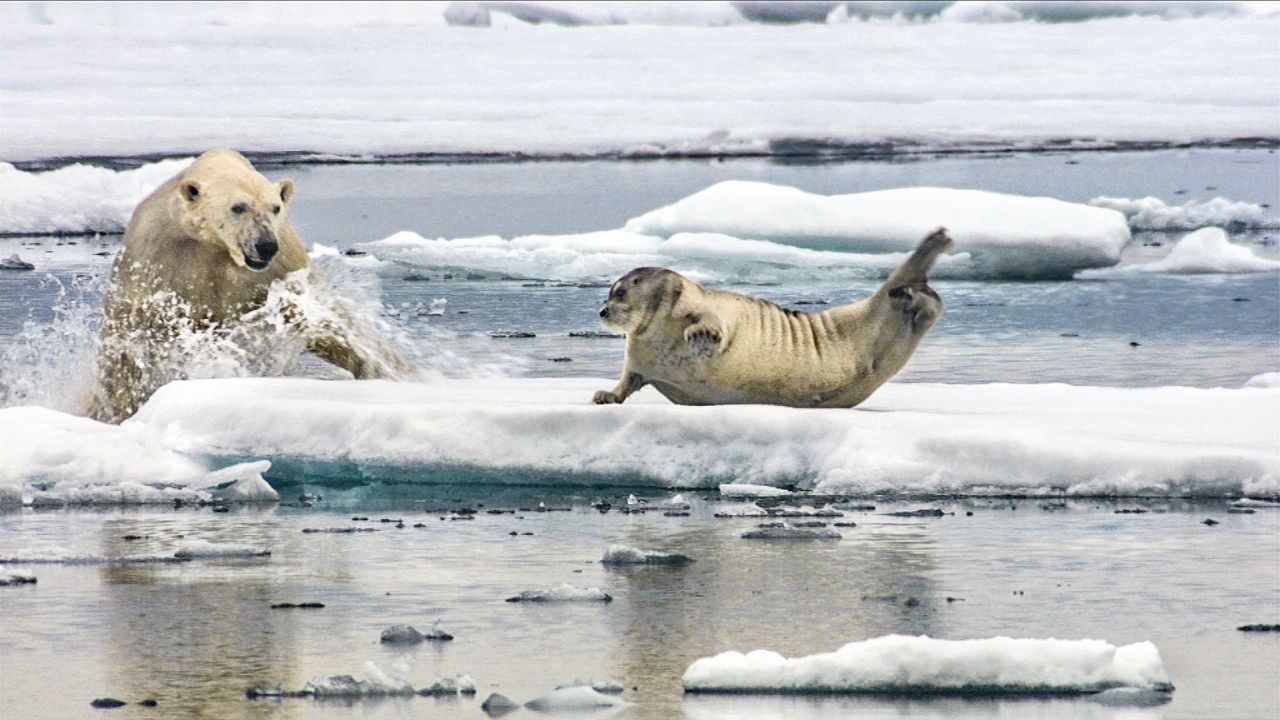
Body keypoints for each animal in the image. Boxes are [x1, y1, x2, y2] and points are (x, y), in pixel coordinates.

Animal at [87, 149, 407, 422]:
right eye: (238, 207)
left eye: (275, 207)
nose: (265, 245)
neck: (215, 247)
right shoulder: (158, 259)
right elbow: (132, 335)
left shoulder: (280, 266)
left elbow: (319, 319)